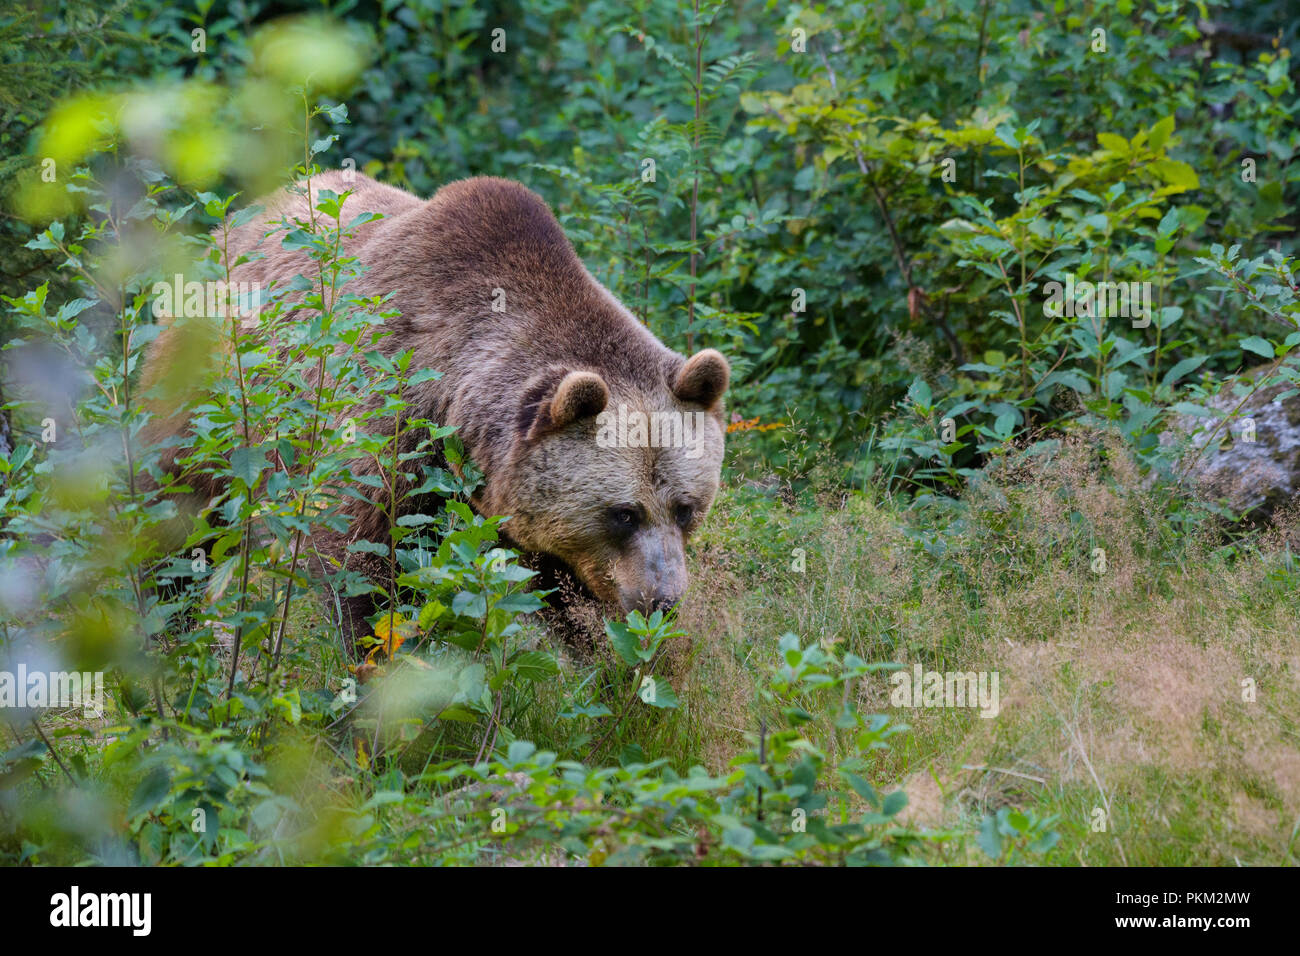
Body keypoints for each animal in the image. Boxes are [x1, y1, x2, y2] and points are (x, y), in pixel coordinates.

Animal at [144, 171, 733, 655]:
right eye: (624, 513)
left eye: (686, 507)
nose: (662, 599)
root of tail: (245, 213)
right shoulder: (390, 414)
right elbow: (364, 561)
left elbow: (564, 589)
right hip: (216, 393)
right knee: (179, 504)